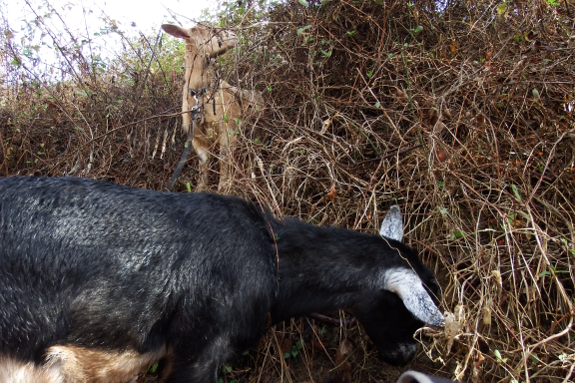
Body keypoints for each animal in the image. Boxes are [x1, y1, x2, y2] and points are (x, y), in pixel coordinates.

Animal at [160, 24, 264, 192]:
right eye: (210, 30)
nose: (234, 35)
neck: (200, 94)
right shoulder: (197, 138)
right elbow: (204, 165)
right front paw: (200, 189)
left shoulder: (228, 129)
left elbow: (224, 160)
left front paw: (224, 188)